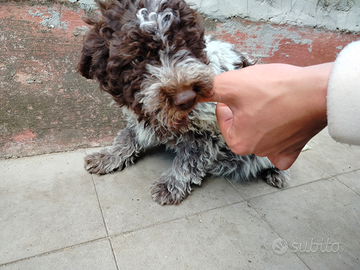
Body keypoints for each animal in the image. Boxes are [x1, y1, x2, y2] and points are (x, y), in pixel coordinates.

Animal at [77, 0, 288, 206]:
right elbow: (127, 137)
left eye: (184, 44)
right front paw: (108, 156)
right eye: (137, 58)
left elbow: (189, 161)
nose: (187, 98)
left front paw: (171, 185)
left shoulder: (207, 131)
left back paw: (277, 173)